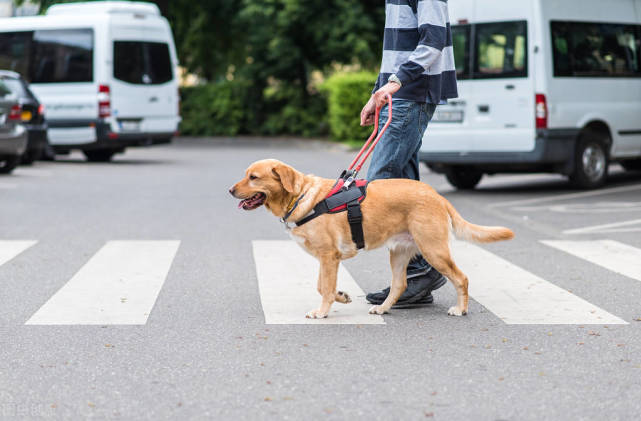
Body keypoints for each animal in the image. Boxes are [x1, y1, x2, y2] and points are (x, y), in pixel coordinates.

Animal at [228, 160, 512, 318]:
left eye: (254, 177)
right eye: (246, 174)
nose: (229, 190)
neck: (301, 196)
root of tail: (436, 195)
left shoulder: (329, 256)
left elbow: (324, 288)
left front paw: (322, 312)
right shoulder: (326, 258)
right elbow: (322, 286)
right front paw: (341, 297)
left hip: (433, 249)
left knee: (461, 278)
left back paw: (460, 309)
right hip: (399, 253)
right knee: (400, 285)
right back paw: (383, 308)